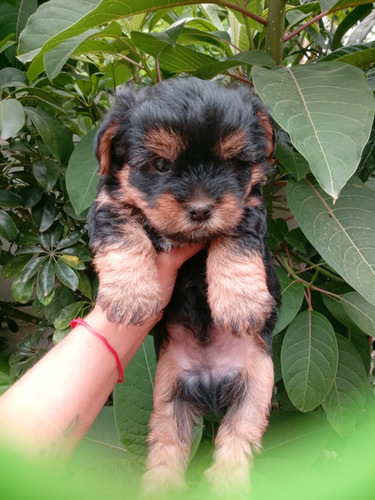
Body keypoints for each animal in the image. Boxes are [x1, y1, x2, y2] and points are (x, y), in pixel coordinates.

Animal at [89, 78, 282, 492]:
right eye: (160, 165)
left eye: (233, 164)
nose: (201, 209)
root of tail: (211, 383)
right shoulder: (108, 205)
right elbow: (124, 233)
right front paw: (131, 295)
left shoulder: (246, 207)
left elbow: (233, 240)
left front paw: (240, 302)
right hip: (168, 394)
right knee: (167, 442)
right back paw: (161, 486)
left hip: (258, 384)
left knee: (238, 437)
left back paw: (228, 483)